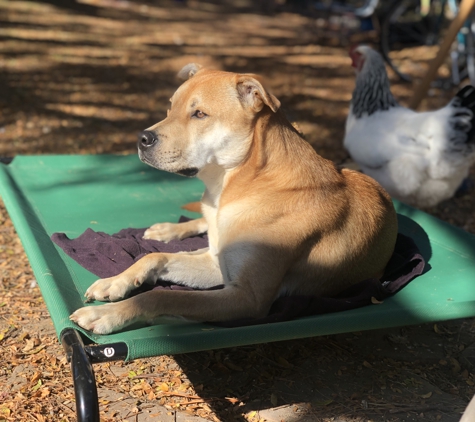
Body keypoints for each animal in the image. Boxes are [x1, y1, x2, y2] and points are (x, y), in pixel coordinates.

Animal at [69, 65, 398, 332]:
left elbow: (162, 296)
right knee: (196, 225)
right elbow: (154, 256)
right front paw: (115, 281)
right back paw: (168, 229)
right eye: (170, 108)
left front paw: (109, 314)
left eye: (200, 114)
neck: (236, 187)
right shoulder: (216, 261)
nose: (142, 139)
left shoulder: (246, 297)